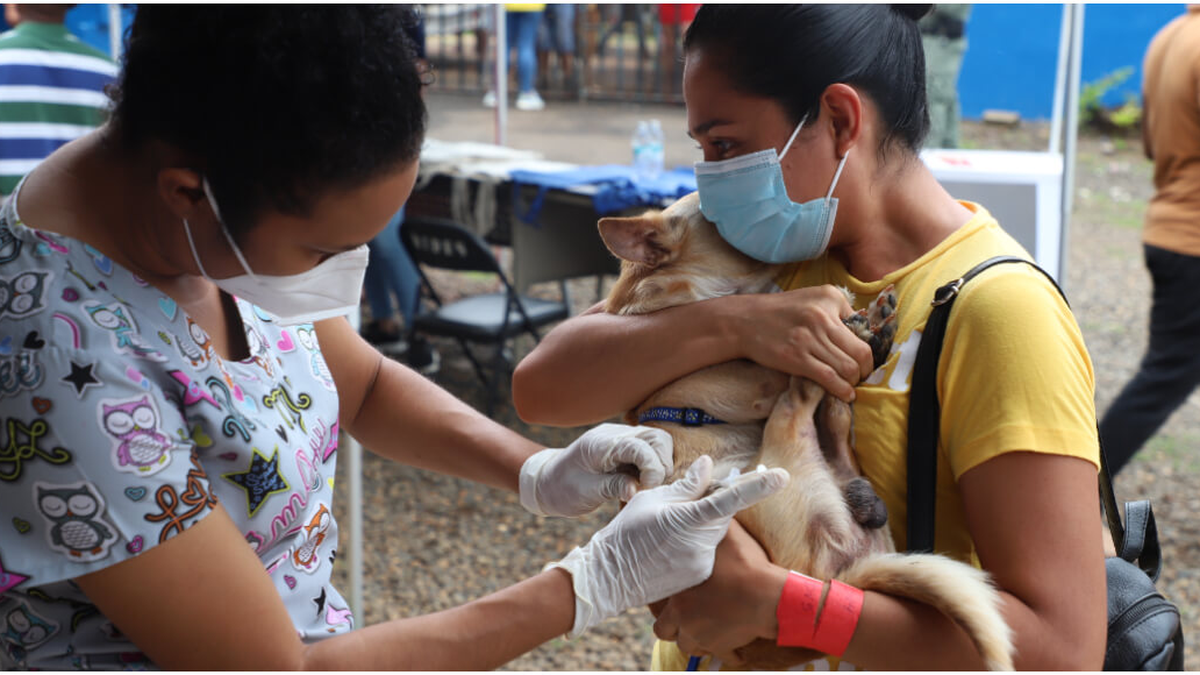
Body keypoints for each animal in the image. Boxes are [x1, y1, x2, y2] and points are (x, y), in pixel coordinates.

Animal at [597, 192, 1012, 667]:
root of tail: (840, 578)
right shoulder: (758, 380)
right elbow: (786, 368)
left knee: (836, 420)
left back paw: (872, 333)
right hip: (782, 437)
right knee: (807, 396)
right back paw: (859, 338)